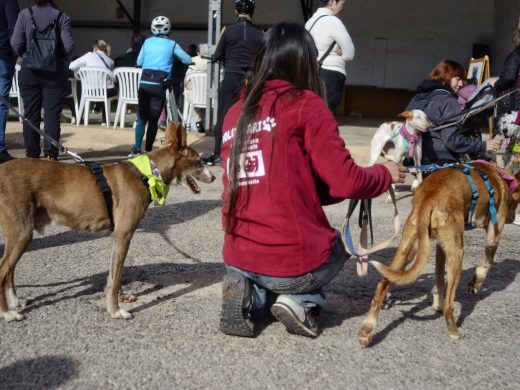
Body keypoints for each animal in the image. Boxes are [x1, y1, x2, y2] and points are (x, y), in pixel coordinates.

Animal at [0, 122, 215, 322]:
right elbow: (117, 277)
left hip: (21, 234)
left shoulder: (118, 238)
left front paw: (119, 299)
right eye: (199, 162)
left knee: (9, 271)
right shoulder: (123, 235)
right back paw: (7, 313)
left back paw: (15, 302)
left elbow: (113, 275)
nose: (213, 177)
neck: (147, 173)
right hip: (22, 233)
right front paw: (115, 310)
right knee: (3, 272)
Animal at [358, 162, 520, 348]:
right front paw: (476, 282)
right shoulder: (493, 236)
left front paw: (437, 304)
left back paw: (367, 329)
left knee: (382, 285)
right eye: (517, 202)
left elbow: (439, 280)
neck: (500, 176)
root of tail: (428, 197)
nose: (513, 218)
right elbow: (487, 263)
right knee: (450, 304)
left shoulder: (440, 248)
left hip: (409, 249)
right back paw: (454, 331)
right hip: (457, 252)